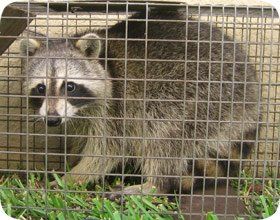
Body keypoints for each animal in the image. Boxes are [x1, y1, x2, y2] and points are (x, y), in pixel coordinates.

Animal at [19, 10, 260, 194]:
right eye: (41, 88)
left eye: (69, 86)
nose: (52, 120)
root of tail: (252, 97)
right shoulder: (79, 117)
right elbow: (81, 140)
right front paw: (70, 164)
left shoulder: (115, 108)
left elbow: (105, 151)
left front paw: (73, 177)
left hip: (202, 98)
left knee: (165, 138)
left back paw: (154, 185)